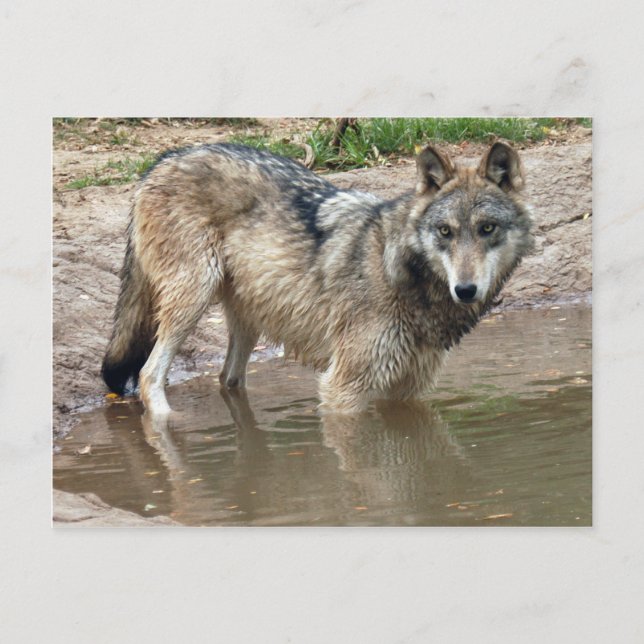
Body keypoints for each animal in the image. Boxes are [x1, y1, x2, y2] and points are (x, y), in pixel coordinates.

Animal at [101, 140, 533, 415]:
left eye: (487, 229)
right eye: (445, 231)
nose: (465, 290)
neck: (404, 275)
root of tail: (161, 162)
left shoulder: (407, 390)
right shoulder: (343, 388)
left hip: (247, 321)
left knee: (227, 380)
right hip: (193, 298)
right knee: (148, 376)